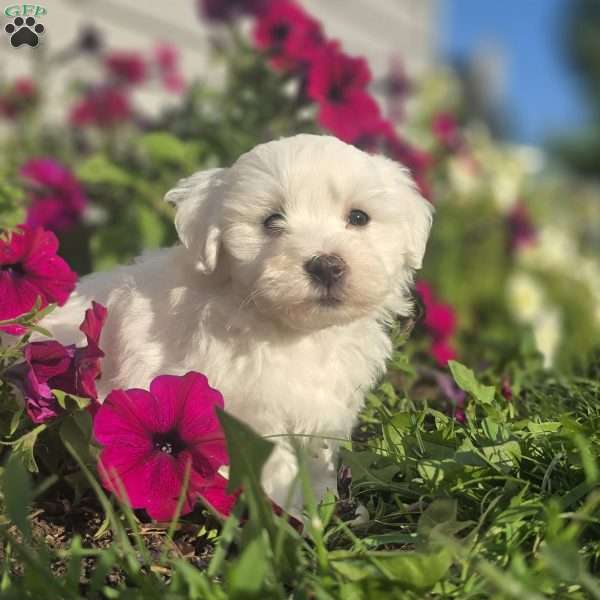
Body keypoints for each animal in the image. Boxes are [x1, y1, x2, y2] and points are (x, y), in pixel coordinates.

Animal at [43, 135, 436, 510]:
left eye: (358, 218)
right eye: (272, 221)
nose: (326, 265)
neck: (294, 333)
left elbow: (316, 454)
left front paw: (324, 505)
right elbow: (271, 460)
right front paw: (287, 509)